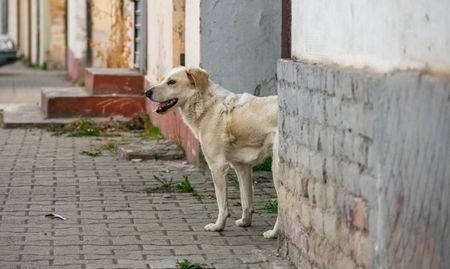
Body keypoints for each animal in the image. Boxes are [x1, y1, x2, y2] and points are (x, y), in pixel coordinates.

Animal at [145, 66, 278, 237]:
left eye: (172, 82)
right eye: (162, 79)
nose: (146, 92)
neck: (205, 105)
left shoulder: (217, 166)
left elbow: (222, 204)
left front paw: (218, 226)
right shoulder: (242, 167)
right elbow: (246, 200)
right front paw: (245, 222)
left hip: (277, 170)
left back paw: (273, 233)